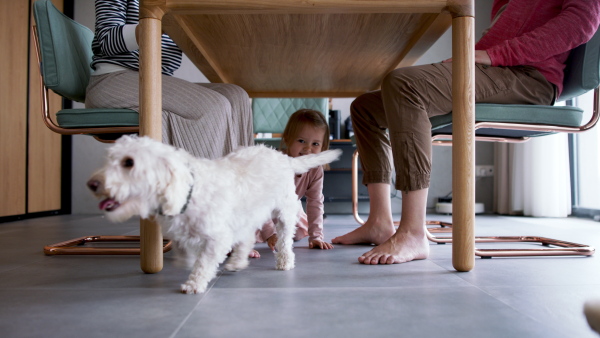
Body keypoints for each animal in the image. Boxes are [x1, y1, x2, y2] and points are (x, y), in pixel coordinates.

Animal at [86, 136, 340, 294]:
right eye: (109, 159)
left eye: (129, 162)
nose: (92, 184)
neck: (187, 189)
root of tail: (282, 157)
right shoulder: (182, 232)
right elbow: (183, 249)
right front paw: (185, 261)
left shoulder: (217, 238)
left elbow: (203, 263)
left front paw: (194, 283)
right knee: (247, 238)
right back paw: (237, 262)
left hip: (283, 212)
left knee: (285, 240)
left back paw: (284, 261)